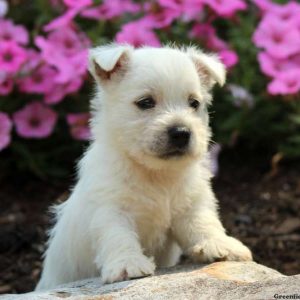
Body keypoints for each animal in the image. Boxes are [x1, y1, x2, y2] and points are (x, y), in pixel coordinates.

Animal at [35, 43, 253, 290]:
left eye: (194, 103)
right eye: (145, 102)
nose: (181, 132)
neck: (155, 173)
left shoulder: (190, 204)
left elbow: (203, 222)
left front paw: (220, 245)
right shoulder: (111, 208)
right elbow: (118, 236)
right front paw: (127, 264)